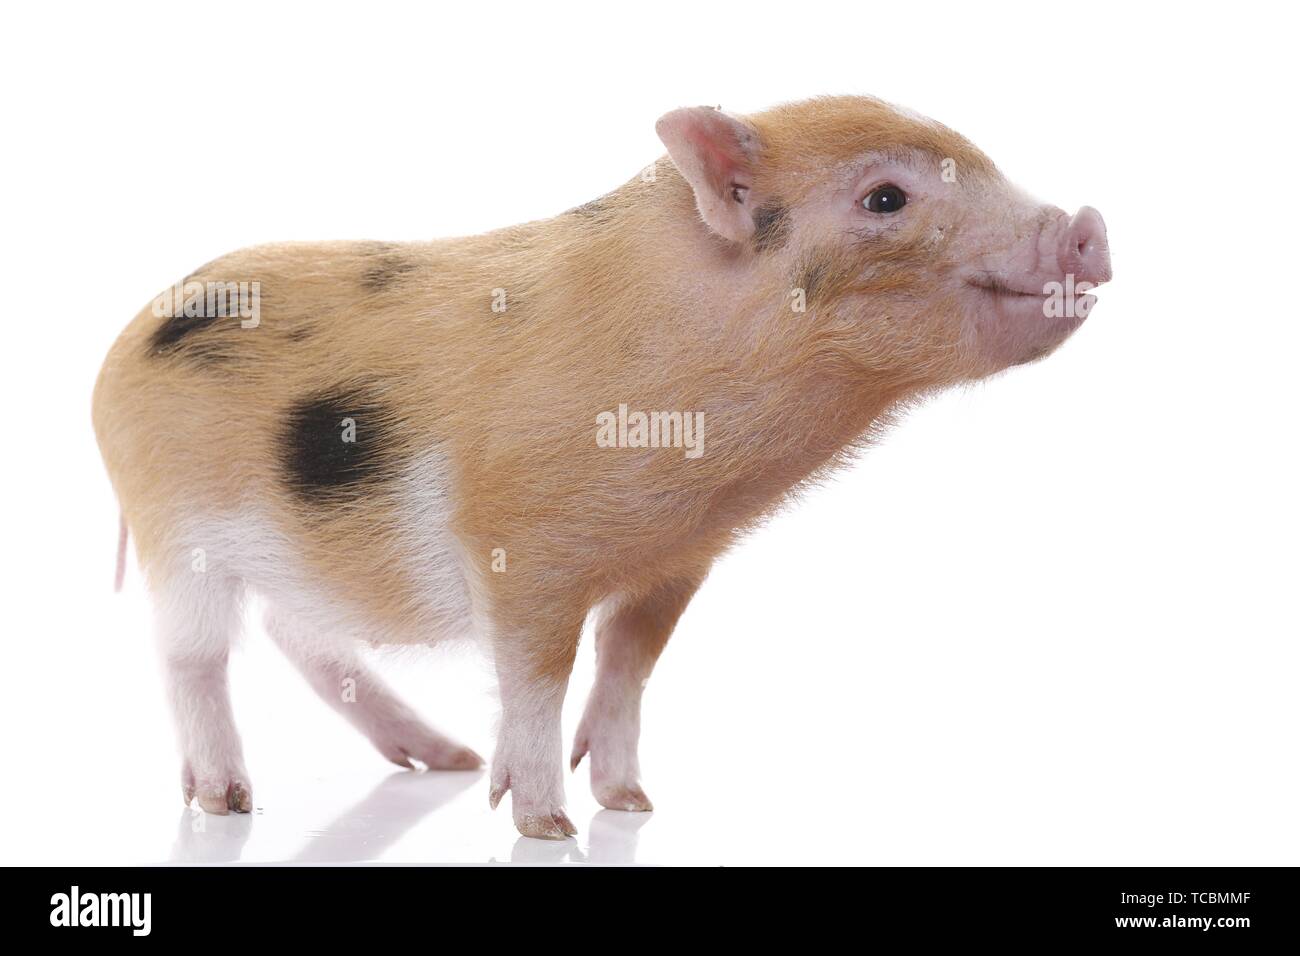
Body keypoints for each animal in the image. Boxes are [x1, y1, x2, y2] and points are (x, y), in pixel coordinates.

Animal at [92, 96, 1111, 839]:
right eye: (886, 198)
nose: (1087, 225)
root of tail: (117, 353)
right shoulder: (518, 545)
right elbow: (538, 674)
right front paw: (546, 824)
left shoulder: (675, 560)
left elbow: (628, 665)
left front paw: (631, 803)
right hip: (176, 532)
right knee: (194, 657)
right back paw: (229, 802)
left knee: (301, 635)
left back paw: (441, 759)